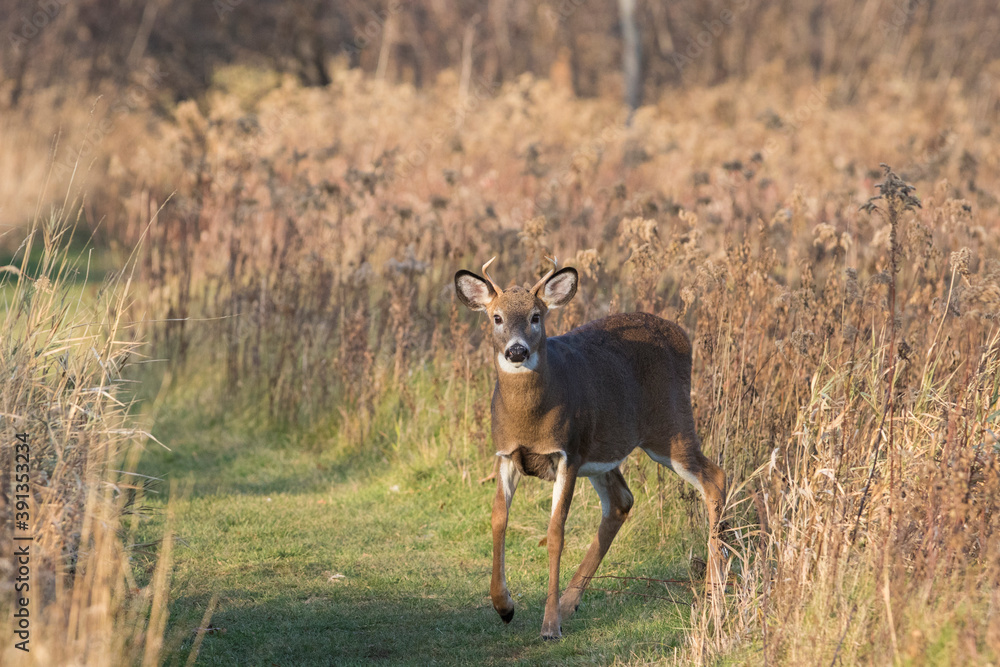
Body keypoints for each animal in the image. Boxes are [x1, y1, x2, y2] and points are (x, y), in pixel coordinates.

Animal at [454, 256, 727, 640]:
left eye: (536, 316)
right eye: (496, 317)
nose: (517, 350)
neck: (530, 417)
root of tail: (681, 334)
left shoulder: (568, 452)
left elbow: (555, 533)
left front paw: (549, 625)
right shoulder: (507, 453)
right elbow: (497, 520)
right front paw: (504, 606)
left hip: (670, 426)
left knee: (715, 478)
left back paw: (713, 597)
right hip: (603, 448)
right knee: (621, 501)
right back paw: (571, 602)